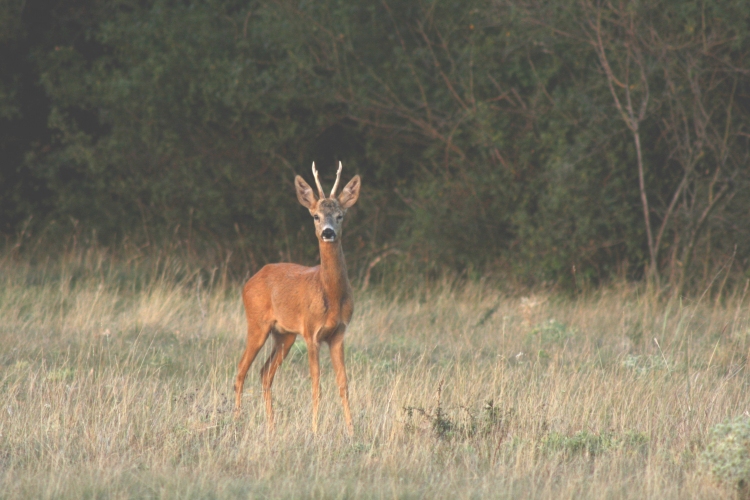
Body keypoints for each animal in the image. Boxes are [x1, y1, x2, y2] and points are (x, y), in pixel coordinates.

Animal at [235, 161, 364, 434]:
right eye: (315, 215)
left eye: (340, 215)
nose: (328, 232)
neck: (331, 295)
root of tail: (250, 281)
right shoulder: (311, 332)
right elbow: (316, 385)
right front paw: (314, 430)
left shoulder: (339, 333)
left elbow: (343, 384)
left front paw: (351, 430)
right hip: (257, 323)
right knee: (241, 370)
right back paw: (236, 421)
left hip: (284, 335)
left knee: (265, 373)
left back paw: (271, 425)